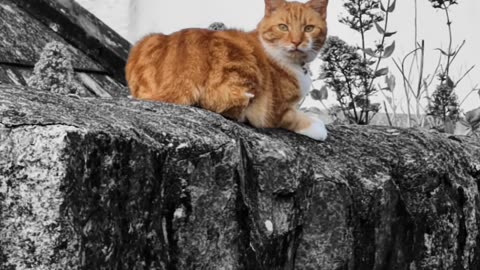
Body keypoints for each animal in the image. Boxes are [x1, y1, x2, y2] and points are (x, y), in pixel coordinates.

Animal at [126, 0, 330, 140]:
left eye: (309, 28)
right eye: (283, 27)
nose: (296, 42)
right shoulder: (274, 110)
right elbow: (293, 116)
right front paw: (317, 126)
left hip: (146, 40)